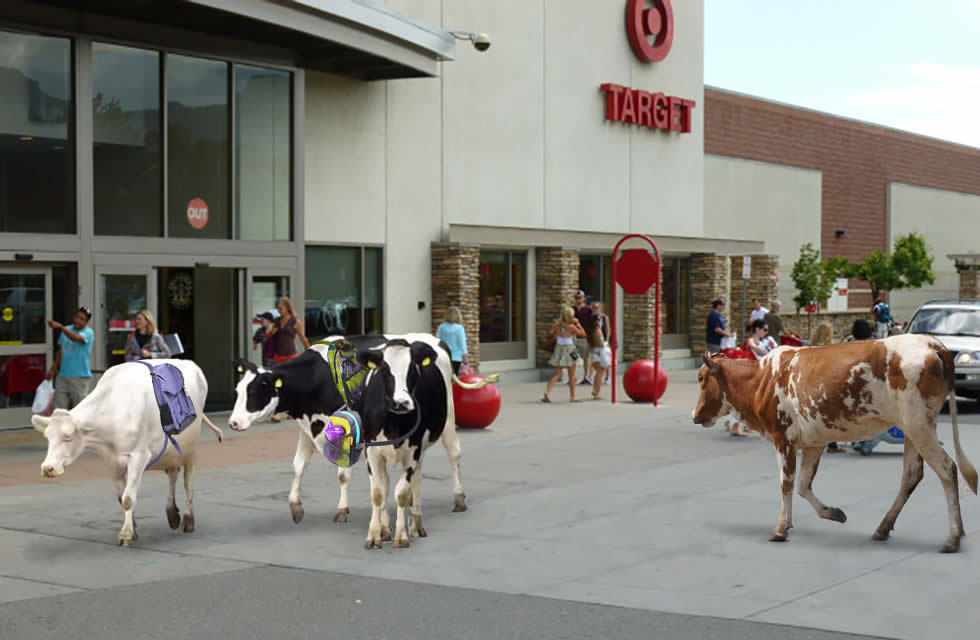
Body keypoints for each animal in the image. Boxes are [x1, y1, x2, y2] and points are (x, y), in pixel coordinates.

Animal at [32, 360, 222, 544]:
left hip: (190, 451)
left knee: (188, 483)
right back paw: (172, 514)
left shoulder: (139, 456)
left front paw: (126, 533)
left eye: (67, 436)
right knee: (173, 476)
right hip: (170, 452)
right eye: (47, 437)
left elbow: (128, 498)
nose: (47, 468)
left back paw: (188, 520)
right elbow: (121, 497)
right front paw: (133, 527)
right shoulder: (111, 462)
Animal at [692, 336, 976, 552]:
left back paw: (953, 537)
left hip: (919, 425)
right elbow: (803, 485)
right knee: (912, 475)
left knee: (947, 468)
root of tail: (932, 343)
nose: (695, 415)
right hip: (912, 429)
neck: (761, 380)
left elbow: (787, 484)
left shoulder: (783, 437)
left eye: (702, 378)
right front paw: (832, 513)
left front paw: (781, 529)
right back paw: (883, 528)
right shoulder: (814, 442)